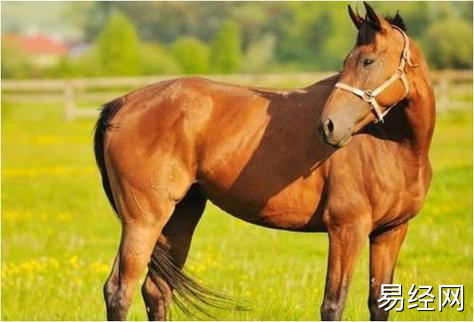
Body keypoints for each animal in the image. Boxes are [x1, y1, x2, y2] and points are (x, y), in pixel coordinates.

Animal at [94, 3, 436, 322]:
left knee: (156, 290)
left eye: (367, 61)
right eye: (347, 62)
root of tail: (122, 104)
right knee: (119, 290)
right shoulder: (346, 229)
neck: (393, 145)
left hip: (179, 217)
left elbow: (379, 304)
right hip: (143, 221)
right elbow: (333, 305)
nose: (328, 126)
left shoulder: (391, 232)